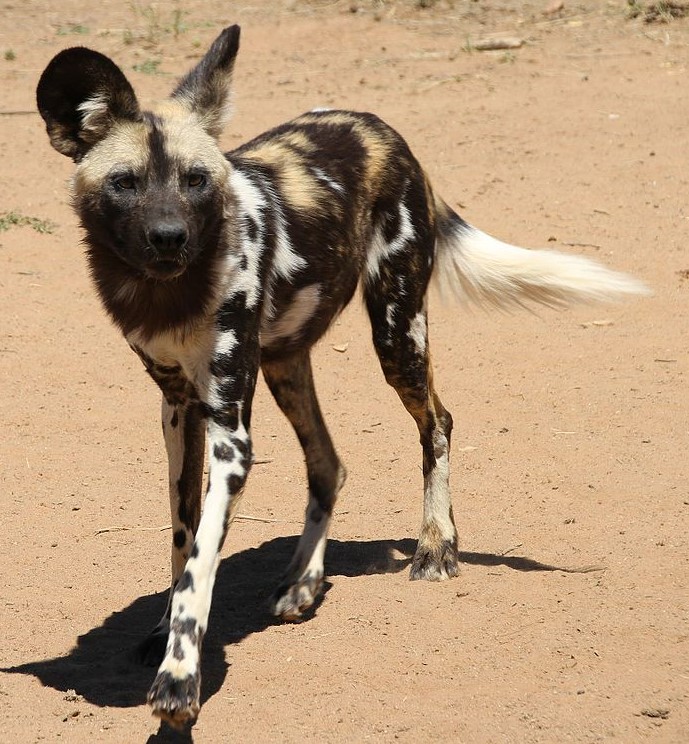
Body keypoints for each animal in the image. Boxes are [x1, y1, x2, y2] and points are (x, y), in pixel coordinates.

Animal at [36, 24, 644, 728]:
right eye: (126, 182)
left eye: (195, 180)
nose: (169, 237)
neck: (168, 294)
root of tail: (382, 128)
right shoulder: (179, 407)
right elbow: (184, 539)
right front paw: (164, 633)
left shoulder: (229, 433)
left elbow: (199, 567)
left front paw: (179, 680)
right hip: (285, 364)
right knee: (329, 462)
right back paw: (305, 582)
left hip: (396, 335)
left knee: (437, 421)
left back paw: (436, 546)